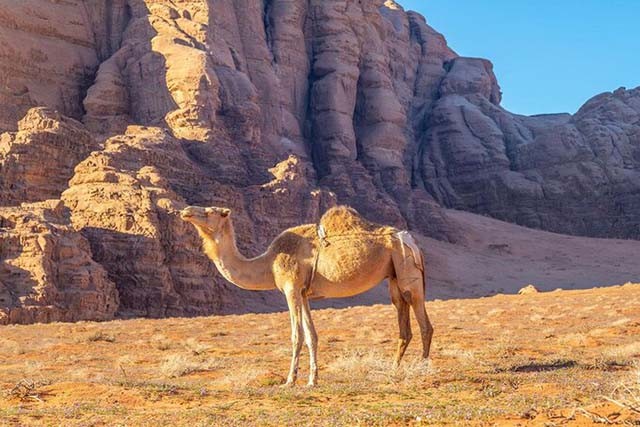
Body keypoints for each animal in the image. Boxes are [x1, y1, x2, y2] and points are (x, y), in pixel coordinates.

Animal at [179, 206, 436, 386]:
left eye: (210, 211)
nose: (186, 211)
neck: (268, 264)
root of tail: (411, 240)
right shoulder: (303, 292)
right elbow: (312, 335)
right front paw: (313, 380)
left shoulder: (291, 288)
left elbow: (296, 335)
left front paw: (289, 380)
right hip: (393, 276)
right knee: (403, 322)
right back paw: (394, 367)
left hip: (407, 270)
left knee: (424, 322)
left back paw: (422, 368)